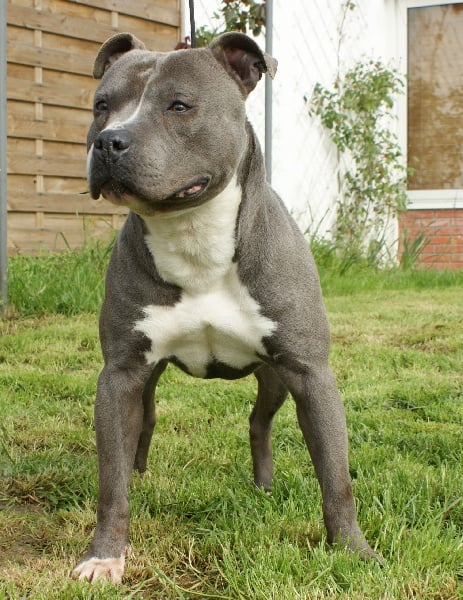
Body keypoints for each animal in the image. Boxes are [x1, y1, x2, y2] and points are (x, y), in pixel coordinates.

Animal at [72, 31, 378, 583]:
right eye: (102, 106)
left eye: (179, 106)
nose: (108, 141)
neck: (194, 235)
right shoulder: (120, 374)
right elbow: (110, 481)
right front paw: (104, 555)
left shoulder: (310, 373)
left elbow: (336, 478)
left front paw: (353, 552)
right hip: (147, 381)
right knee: (146, 424)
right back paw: (141, 476)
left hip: (276, 377)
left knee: (259, 423)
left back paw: (264, 487)